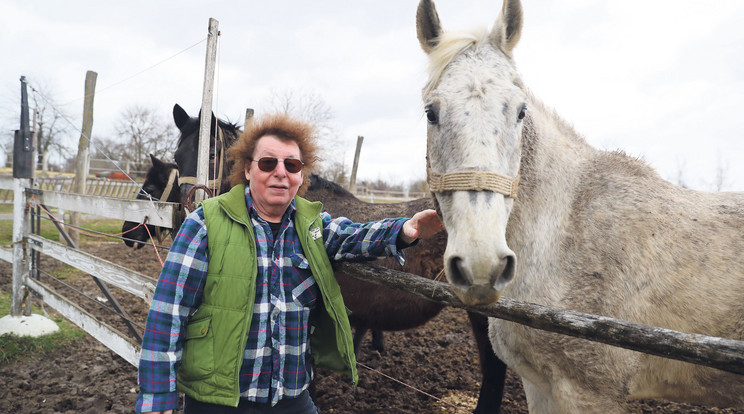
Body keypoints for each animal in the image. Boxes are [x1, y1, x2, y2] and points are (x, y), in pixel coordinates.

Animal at [416, 1, 744, 412]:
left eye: (520, 111)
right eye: (431, 112)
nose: (481, 265)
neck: (562, 235)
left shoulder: (590, 393)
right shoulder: (537, 384)